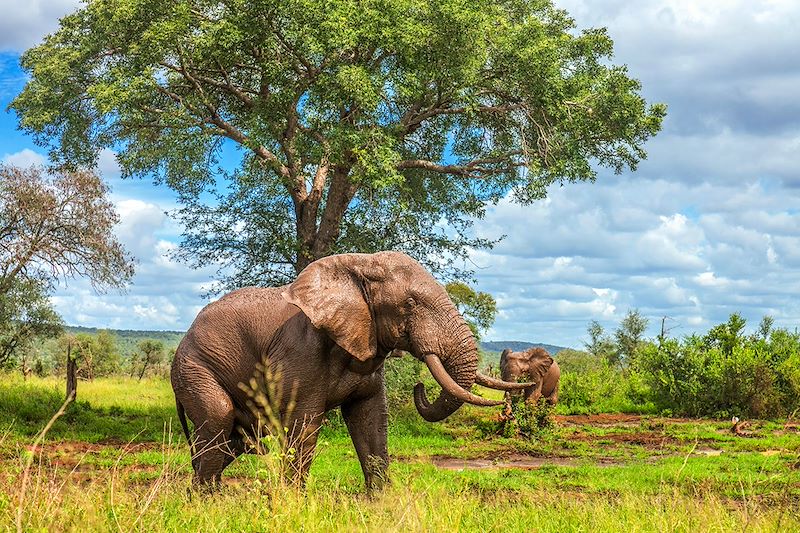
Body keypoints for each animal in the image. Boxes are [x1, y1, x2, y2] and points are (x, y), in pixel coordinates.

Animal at [170, 251, 524, 488]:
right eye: (410, 305)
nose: (419, 387)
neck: (358, 267)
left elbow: (369, 419)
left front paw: (380, 504)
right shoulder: (300, 352)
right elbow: (304, 424)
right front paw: (295, 505)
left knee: (236, 439)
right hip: (194, 366)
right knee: (219, 418)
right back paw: (206, 501)